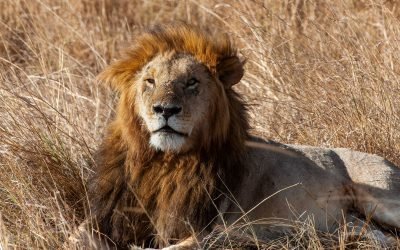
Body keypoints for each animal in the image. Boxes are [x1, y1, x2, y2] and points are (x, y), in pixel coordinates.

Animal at [85, 23, 400, 250]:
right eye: (150, 81)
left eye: (192, 82)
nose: (165, 109)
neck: (165, 163)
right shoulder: (108, 219)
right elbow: (80, 237)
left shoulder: (211, 230)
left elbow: (172, 248)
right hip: (353, 221)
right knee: (379, 236)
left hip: (381, 198)